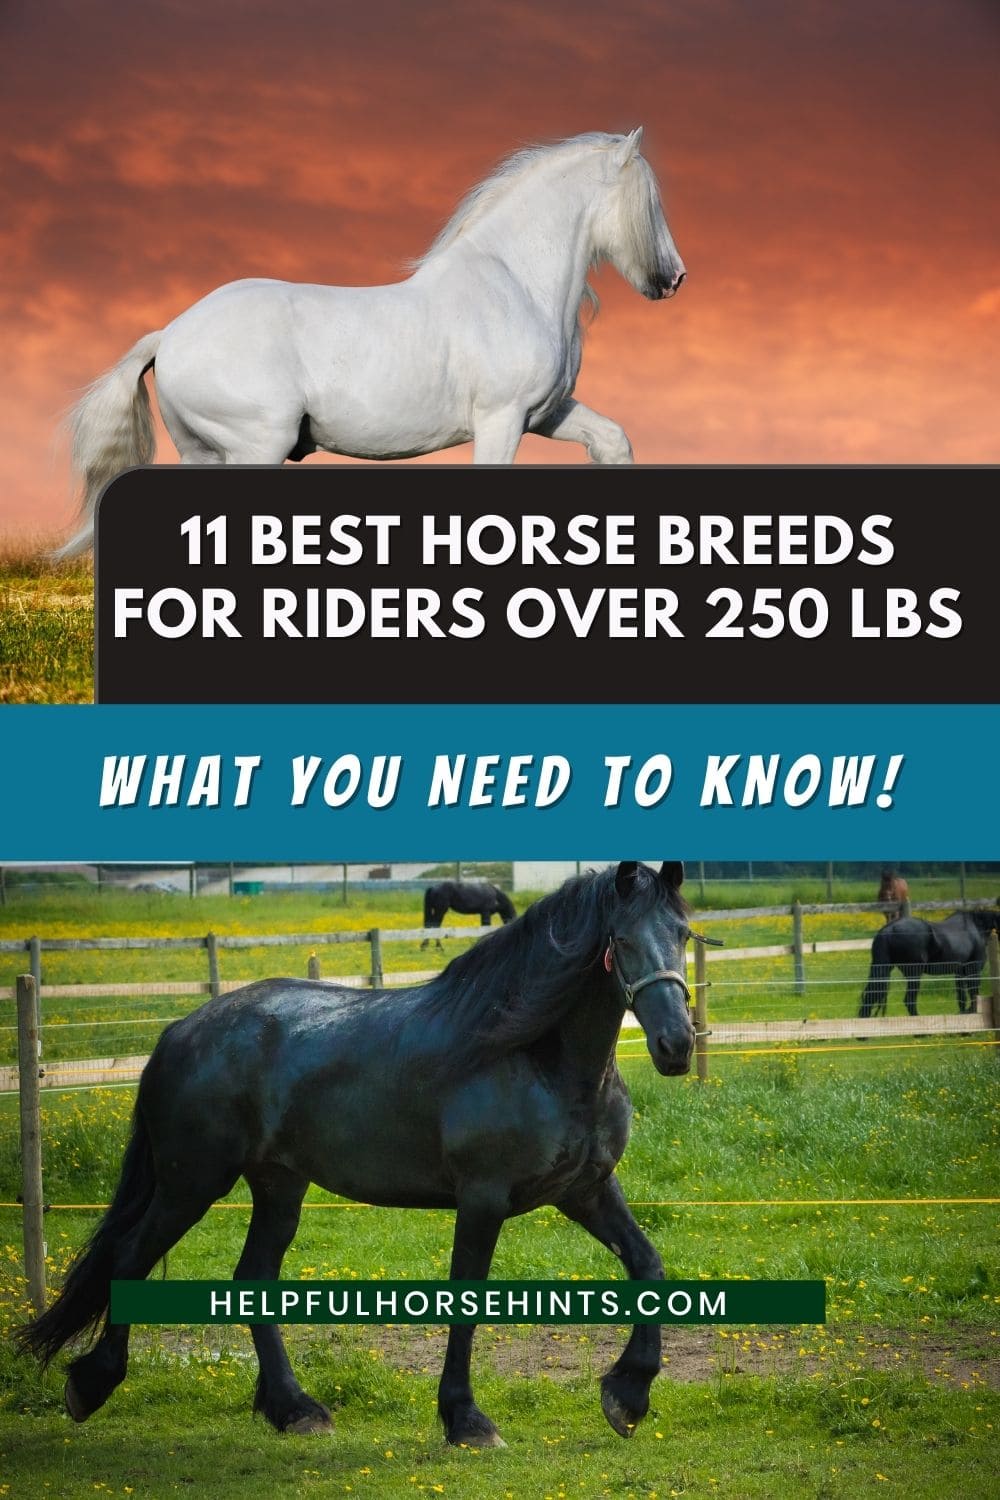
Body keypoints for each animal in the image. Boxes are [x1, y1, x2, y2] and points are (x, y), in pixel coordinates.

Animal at [16, 861, 697, 1448]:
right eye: (621, 940)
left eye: (683, 934)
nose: (677, 1045)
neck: (535, 1057)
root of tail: (179, 1032)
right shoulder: (482, 1200)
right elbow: (467, 1300)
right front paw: (466, 1420)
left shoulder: (584, 1190)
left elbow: (649, 1266)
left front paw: (627, 1396)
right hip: (192, 1182)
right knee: (130, 1257)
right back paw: (92, 1385)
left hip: (278, 1186)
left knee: (252, 1278)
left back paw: (294, 1409)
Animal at [54, 130, 685, 558]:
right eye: (650, 202)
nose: (674, 278)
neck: (516, 283)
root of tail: (171, 333)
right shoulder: (501, 419)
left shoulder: (546, 414)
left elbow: (612, 441)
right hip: (256, 446)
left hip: (204, 453)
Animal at [858, 908, 999, 1017]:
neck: (977, 928)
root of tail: (889, 929)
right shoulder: (973, 970)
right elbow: (974, 994)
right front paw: (971, 1013)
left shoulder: (959, 972)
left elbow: (962, 997)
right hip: (914, 974)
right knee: (909, 1000)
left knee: (870, 996)